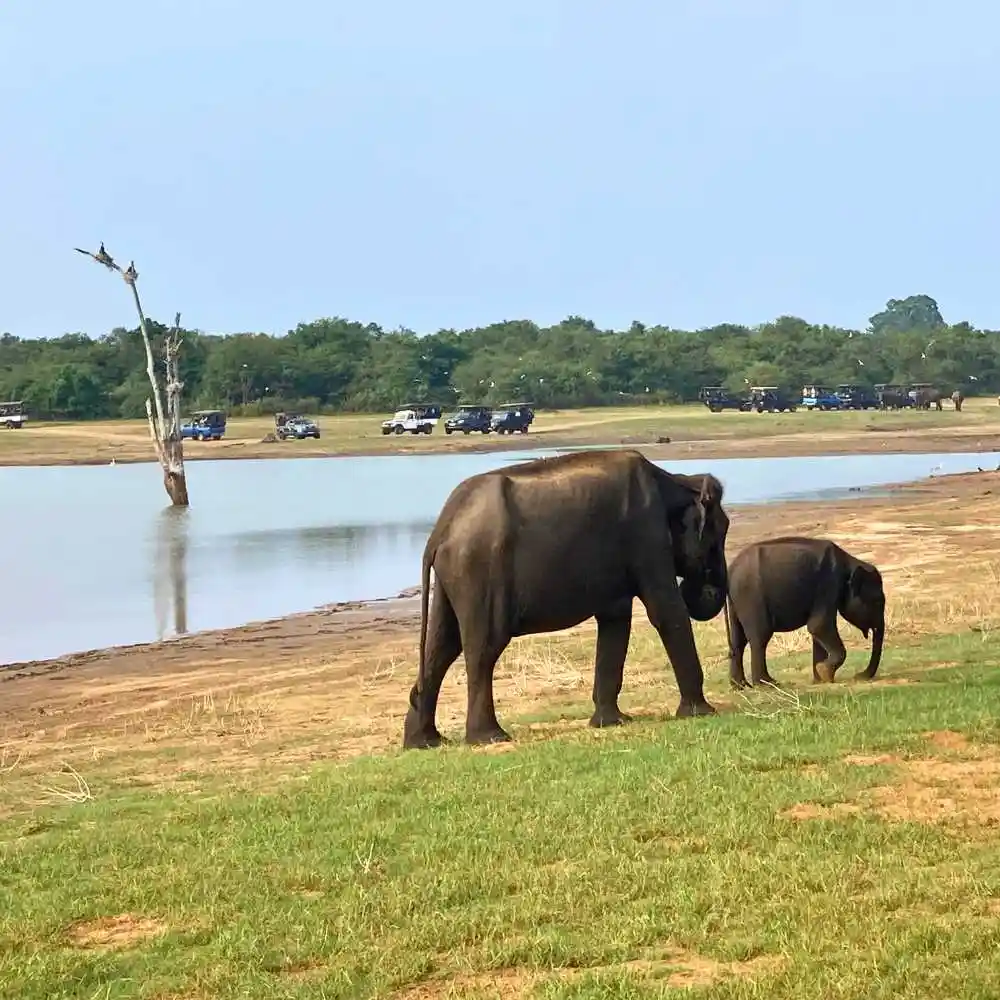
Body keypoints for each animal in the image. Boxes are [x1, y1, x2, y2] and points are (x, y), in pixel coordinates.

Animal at [402, 449, 730, 749]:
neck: (677, 480)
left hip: (454, 577)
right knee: (484, 647)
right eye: (718, 535)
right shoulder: (647, 536)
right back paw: (490, 738)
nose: (707, 588)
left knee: (442, 646)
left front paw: (611, 722)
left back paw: (424, 742)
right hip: (478, 571)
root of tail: (439, 531)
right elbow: (666, 610)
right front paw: (702, 713)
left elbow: (615, 620)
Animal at [724, 536, 885, 689]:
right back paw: (768, 684)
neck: (849, 562)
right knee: (759, 637)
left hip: (737, 602)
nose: (860, 675)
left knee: (739, 640)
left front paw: (821, 679)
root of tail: (730, 571)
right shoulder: (828, 584)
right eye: (878, 602)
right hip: (751, 598)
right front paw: (824, 672)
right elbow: (819, 626)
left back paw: (740, 685)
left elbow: (817, 631)